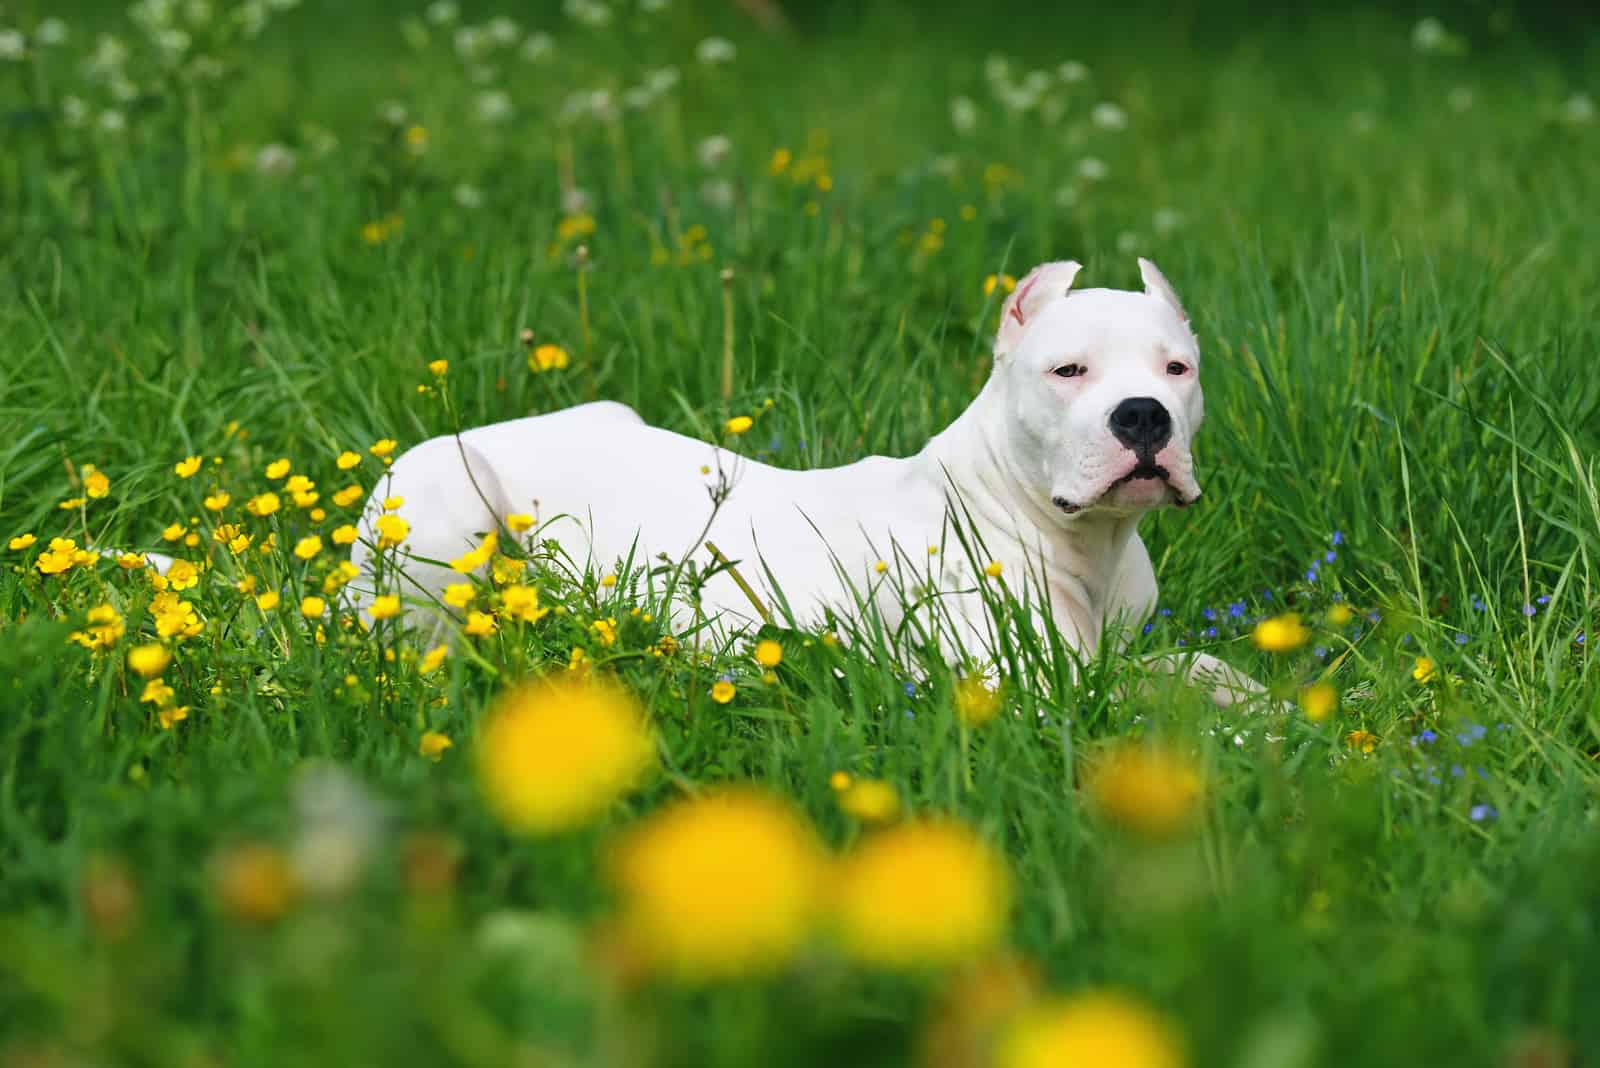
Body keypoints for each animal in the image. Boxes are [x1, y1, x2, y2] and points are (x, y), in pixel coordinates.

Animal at [353, 259, 1260, 703]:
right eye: (1068, 371)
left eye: (1177, 369)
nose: (1143, 417)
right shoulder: (1035, 683)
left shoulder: (1122, 651)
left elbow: (1204, 673)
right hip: (447, 515)